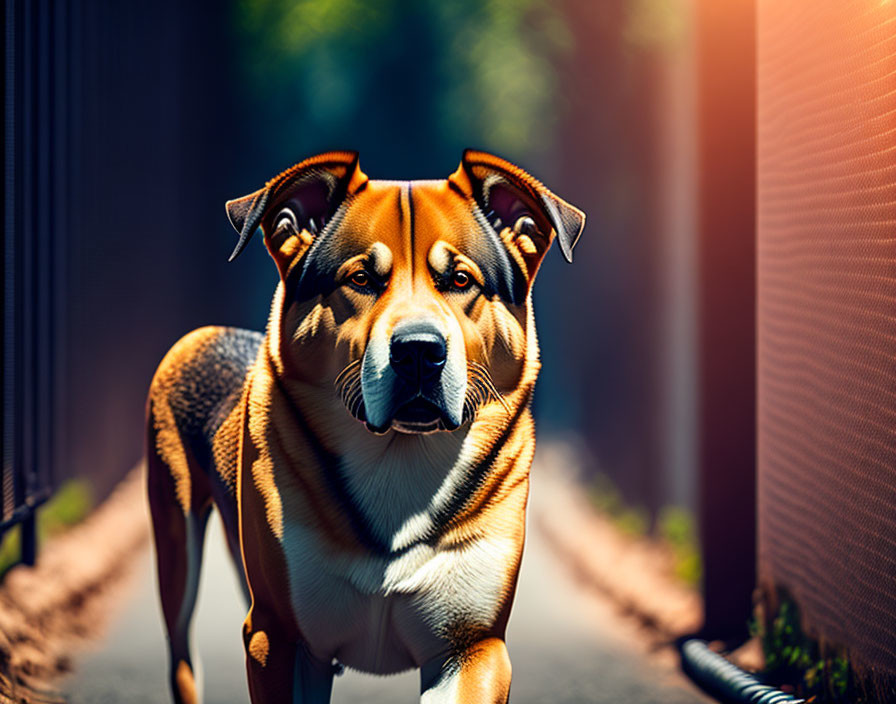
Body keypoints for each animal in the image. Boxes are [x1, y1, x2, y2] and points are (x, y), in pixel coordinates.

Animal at [144, 150, 584, 704]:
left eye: (461, 280)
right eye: (360, 279)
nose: (419, 351)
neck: (400, 457)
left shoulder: (473, 646)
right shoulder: (279, 638)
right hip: (175, 534)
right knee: (182, 650)